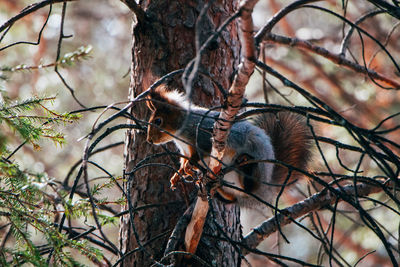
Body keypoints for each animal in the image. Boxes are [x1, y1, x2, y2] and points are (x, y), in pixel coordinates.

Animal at [145, 86, 310, 205]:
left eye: (158, 121)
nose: (149, 140)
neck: (180, 132)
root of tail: (266, 188)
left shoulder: (202, 137)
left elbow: (200, 153)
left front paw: (188, 167)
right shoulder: (185, 150)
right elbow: (184, 160)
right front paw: (178, 175)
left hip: (257, 165)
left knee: (249, 186)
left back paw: (245, 162)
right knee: (233, 197)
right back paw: (215, 185)